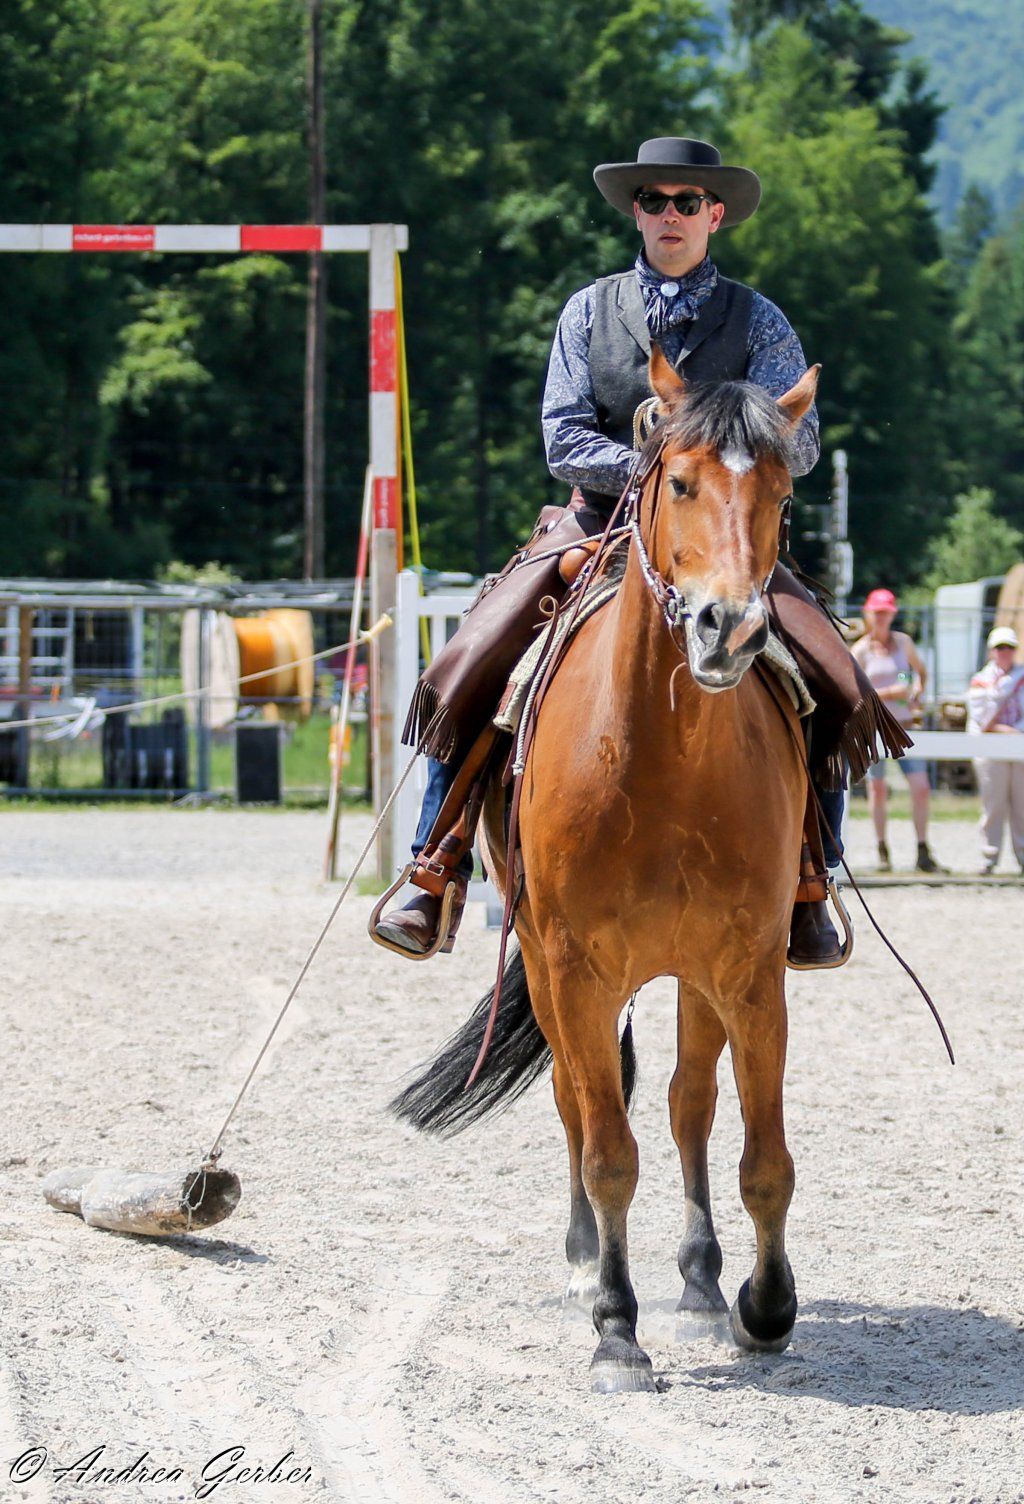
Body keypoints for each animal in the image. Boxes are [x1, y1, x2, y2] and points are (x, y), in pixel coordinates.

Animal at [392, 353, 820, 1393]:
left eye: (784, 494)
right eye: (680, 482)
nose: (728, 628)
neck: (660, 762)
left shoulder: (749, 971)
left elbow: (764, 1157)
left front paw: (764, 1306)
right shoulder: (576, 968)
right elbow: (608, 1151)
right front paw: (617, 1329)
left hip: (695, 978)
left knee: (687, 1104)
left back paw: (702, 1279)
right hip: (551, 973)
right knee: (579, 1110)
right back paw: (590, 1260)